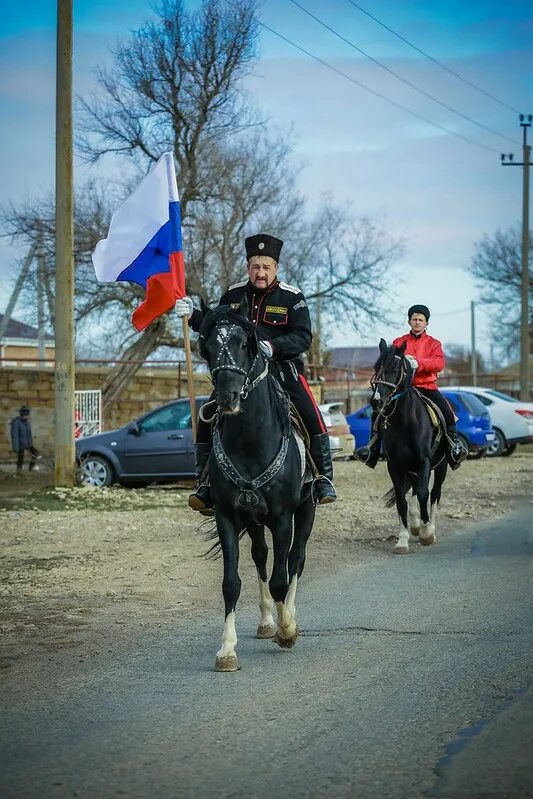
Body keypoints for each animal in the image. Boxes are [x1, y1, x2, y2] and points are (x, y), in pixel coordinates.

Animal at [198, 296, 316, 672]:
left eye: (244, 344)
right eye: (208, 346)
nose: (228, 397)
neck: (251, 440)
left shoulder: (282, 517)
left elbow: (282, 576)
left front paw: (287, 630)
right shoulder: (227, 515)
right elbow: (231, 583)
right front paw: (226, 650)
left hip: (306, 510)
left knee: (295, 560)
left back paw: (286, 617)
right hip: (253, 519)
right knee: (261, 556)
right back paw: (266, 621)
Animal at [372, 340, 446, 556]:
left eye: (396, 369)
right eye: (376, 368)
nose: (376, 400)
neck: (404, 422)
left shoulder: (424, 461)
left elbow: (424, 494)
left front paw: (426, 533)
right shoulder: (395, 466)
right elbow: (401, 500)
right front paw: (402, 540)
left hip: (441, 466)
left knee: (434, 493)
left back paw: (429, 528)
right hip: (412, 469)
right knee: (414, 493)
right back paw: (415, 525)